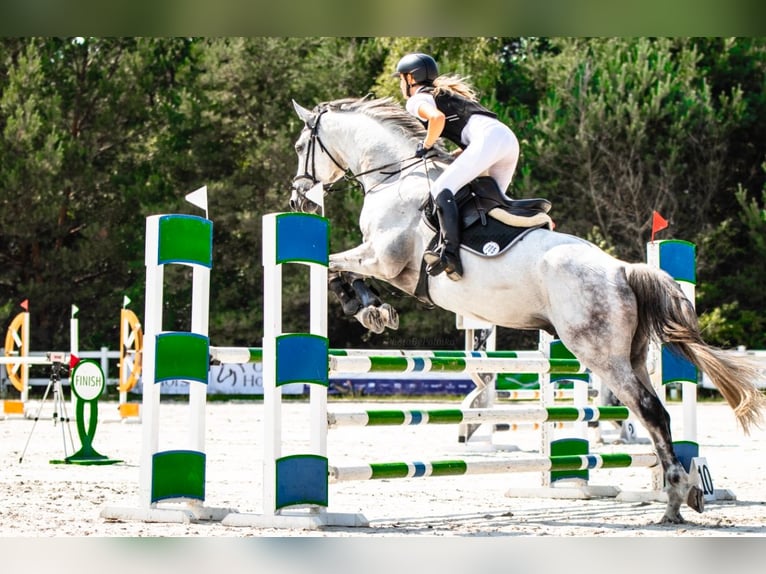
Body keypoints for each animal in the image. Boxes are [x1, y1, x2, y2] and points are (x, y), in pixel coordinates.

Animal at [290, 95, 766, 528]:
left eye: (299, 146)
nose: (298, 200)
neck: (393, 177)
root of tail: (622, 269)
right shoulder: (383, 263)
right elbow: (338, 266)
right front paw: (372, 309)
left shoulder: (383, 259)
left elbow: (335, 265)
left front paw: (367, 307)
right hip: (629, 354)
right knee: (657, 414)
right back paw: (684, 494)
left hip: (600, 354)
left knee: (648, 410)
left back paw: (673, 500)